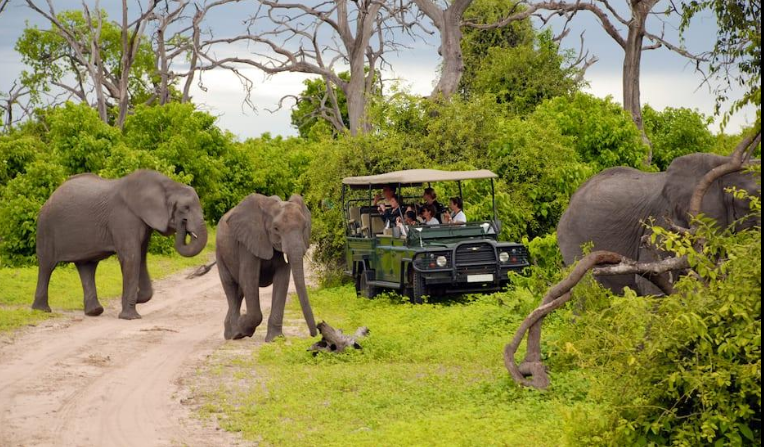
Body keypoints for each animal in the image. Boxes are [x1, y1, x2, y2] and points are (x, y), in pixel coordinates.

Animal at [31, 170, 208, 319]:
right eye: (185, 208)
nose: (183, 224)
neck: (168, 185)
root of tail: (51, 196)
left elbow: (141, 258)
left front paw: (137, 299)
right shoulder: (124, 218)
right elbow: (132, 258)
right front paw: (130, 317)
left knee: (87, 267)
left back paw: (94, 312)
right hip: (46, 228)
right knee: (47, 266)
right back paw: (42, 310)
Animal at [216, 193, 318, 341]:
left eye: (305, 227)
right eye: (276, 229)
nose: (314, 334)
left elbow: (282, 280)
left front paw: (275, 339)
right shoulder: (248, 241)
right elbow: (249, 278)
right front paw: (243, 326)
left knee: (239, 292)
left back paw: (232, 332)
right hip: (220, 252)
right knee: (231, 288)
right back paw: (235, 334)